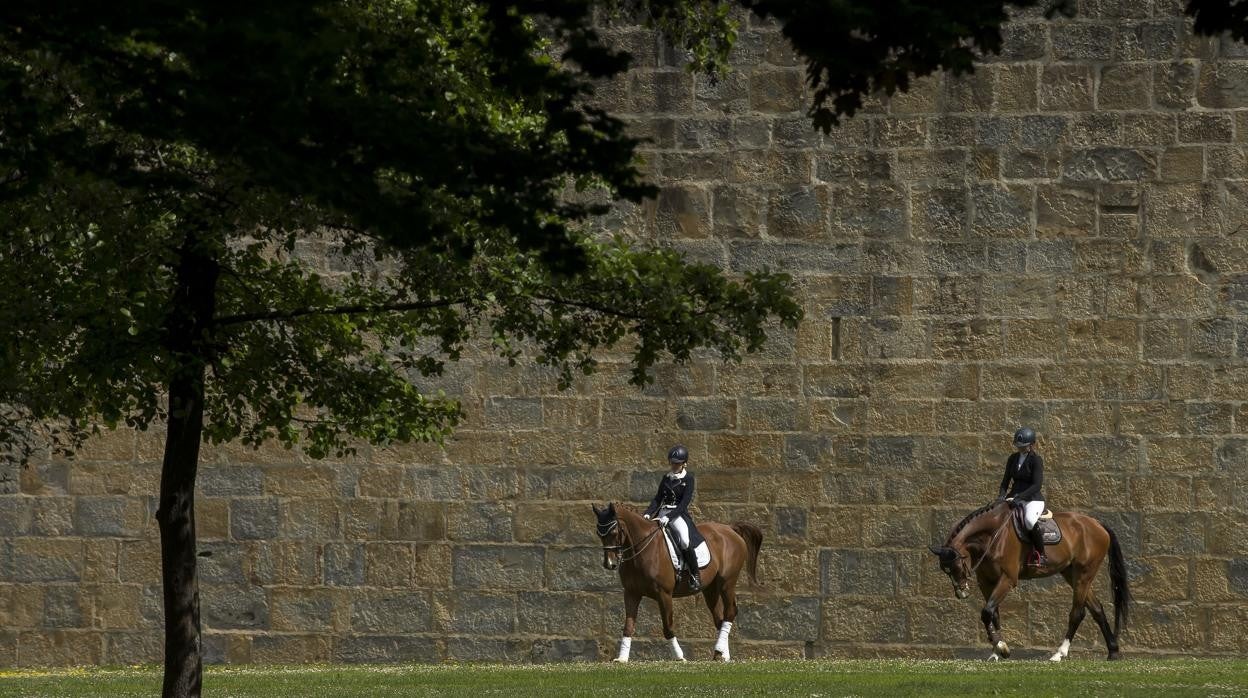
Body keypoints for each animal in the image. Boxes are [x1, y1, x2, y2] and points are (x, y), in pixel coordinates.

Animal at [591, 504, 763, 664]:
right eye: (599, 534)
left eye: (614, 532)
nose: (610, 564)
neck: (640, 551)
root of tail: (730, 529)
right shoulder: (631, 593)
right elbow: (628, 626)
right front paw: (622, 658)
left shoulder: (664, 594)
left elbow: (668, 627)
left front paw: (680, 657)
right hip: (710, 589)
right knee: (719, 618)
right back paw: (721, 654)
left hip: (727, 583)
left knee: (730, 612)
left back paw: (720, 651)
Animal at [928, 501, 1133, 659]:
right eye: (945, 570)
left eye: (956, 566)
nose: (961, 592)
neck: (992, 535)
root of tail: (1096, 523)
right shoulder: (986, 582)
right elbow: (993, 613)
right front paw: (997, 650)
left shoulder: (1007, 579)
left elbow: (986, 612)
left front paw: (1001, 648)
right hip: (1072, 574)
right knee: (1097, 609)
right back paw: (1113, 652)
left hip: (1084, 573)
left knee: (1078, 612)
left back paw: (1059, 653)